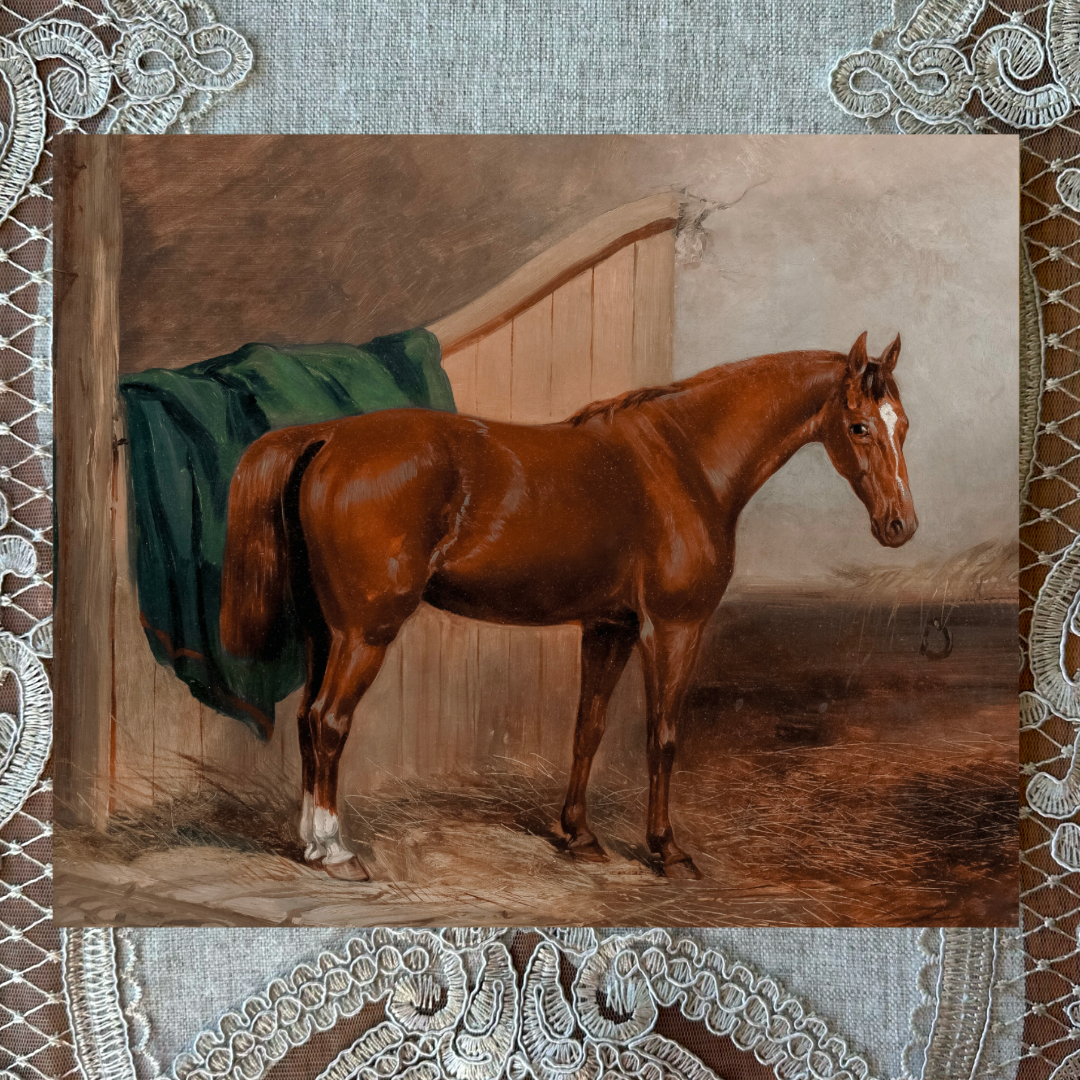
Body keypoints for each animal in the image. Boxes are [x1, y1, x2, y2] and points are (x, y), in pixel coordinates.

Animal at [220, 330, 916, 881]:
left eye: (902, 427)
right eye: (860, 426)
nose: (900, 526)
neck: (683, 460)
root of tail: (328, 435)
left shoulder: (609, 626)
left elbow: (589, 727)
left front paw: (578, 836)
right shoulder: (673, 627)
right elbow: (662, 735)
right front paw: (666, 851)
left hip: (327, 632)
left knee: (307, 721)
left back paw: (311, 844)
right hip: (366, 632)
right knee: (329, 722)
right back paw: (337, 852)